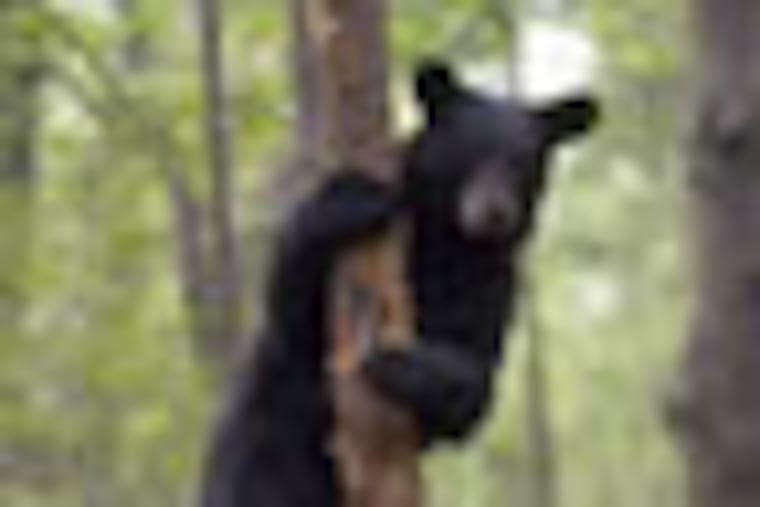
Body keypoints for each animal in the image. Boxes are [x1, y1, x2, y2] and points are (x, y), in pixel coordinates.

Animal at [199, 59, 599, 507]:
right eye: (468, 153)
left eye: (523, 164)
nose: (495, 212)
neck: (449, 238)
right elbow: (294, 316)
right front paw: (353, 200)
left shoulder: (493, 282)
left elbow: (474, 383)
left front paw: (396, 362)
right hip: (263, 443)